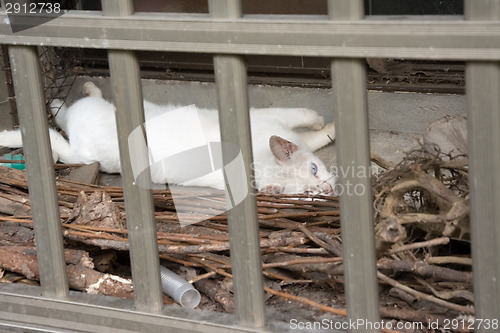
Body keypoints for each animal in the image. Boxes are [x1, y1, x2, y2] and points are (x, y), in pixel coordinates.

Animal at [0, 81, 336, 195]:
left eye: (314, 171)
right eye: (309, 188)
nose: (328, 187)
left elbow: (310, 136)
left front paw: (328, 129)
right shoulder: (267, 116)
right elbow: (305, 116)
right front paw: (324, 123)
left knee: (63, 117)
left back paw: (74, 94)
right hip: (82, 149)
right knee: (61, 125)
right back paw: (64, 98)